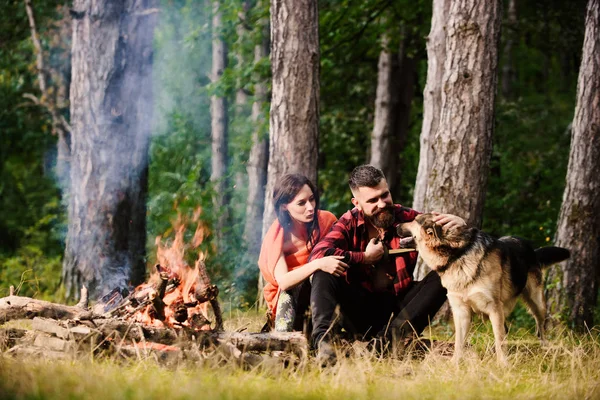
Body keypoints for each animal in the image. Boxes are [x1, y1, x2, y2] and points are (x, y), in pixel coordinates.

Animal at [396, 214, 568, 364]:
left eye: (415, 220)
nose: (396, 225)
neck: (458, 254)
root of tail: (532, 250)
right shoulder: (461, 312)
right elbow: (459, 342)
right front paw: (454, 363)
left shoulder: (494, 307)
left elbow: (499, 338)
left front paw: (503, 364)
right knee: (506, 330)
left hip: (536, 302)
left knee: (539, 328)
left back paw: (545, 348)